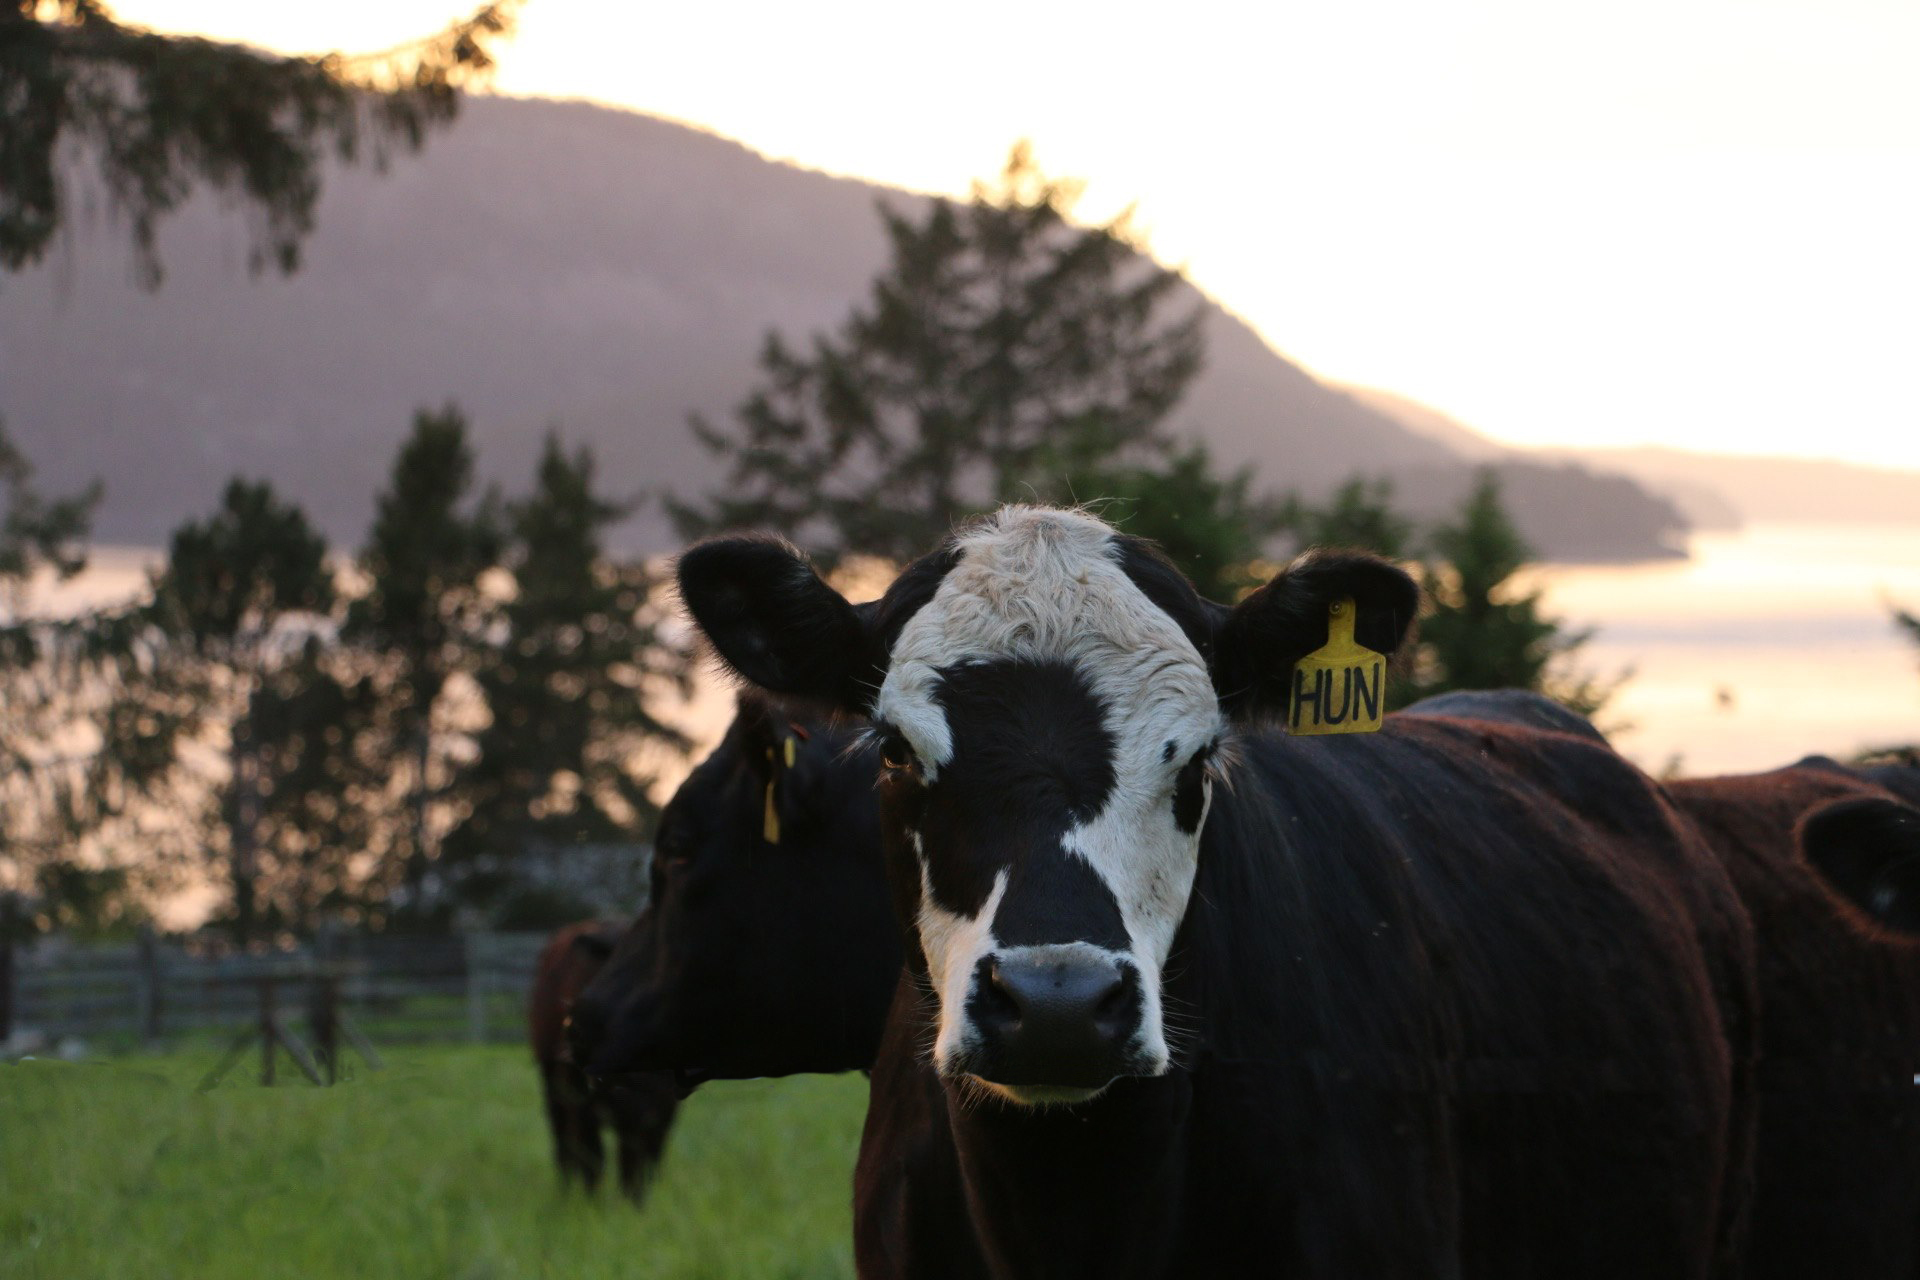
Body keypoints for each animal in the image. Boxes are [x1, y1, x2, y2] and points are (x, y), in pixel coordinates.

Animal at [528, 919, 680, 1201]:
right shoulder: (580, 1094)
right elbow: (592, 1155)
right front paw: (592, 1206)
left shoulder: (660, 1107)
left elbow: (644, 1161)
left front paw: (636, 1205)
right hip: (552, 1082)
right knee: (564, 1142)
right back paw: (565, 1195)